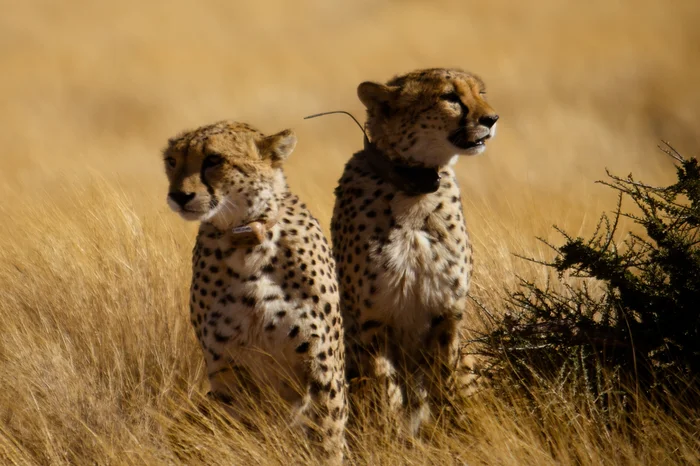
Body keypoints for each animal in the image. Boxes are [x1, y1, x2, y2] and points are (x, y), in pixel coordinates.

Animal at [163, 120, 347, 464]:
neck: (247, 242)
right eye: (171, 161)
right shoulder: (225, 365)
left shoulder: (323, 365)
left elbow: (329, 439)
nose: (179, 196)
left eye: (214, 160)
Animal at [331, 68, 498, 435]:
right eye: (450, 97)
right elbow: (384, 390)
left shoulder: (446, 313)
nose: (492, 118)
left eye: (480, 93)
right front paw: (387, 437)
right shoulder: (373, 321)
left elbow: (443, 381)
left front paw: (453, 432)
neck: (414, 191)